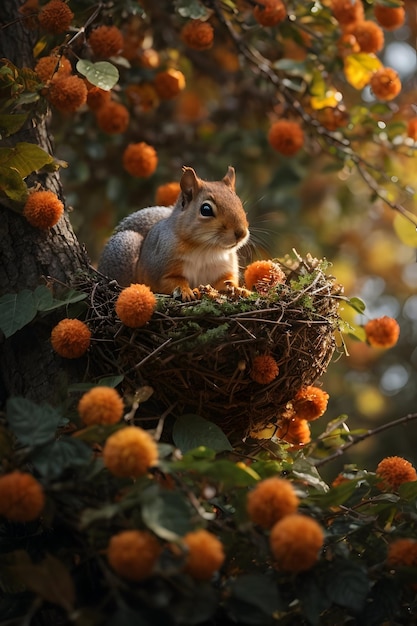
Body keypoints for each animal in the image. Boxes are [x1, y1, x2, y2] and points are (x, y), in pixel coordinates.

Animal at [96, 165, 250, 298]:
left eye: (239, 203)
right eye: (206, 209)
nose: (241, 233)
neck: (206, 248)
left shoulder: (223, 268)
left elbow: (225, 281)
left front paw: (238, 289)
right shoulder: (161, 270)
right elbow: (172, 281)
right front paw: (185, 291)